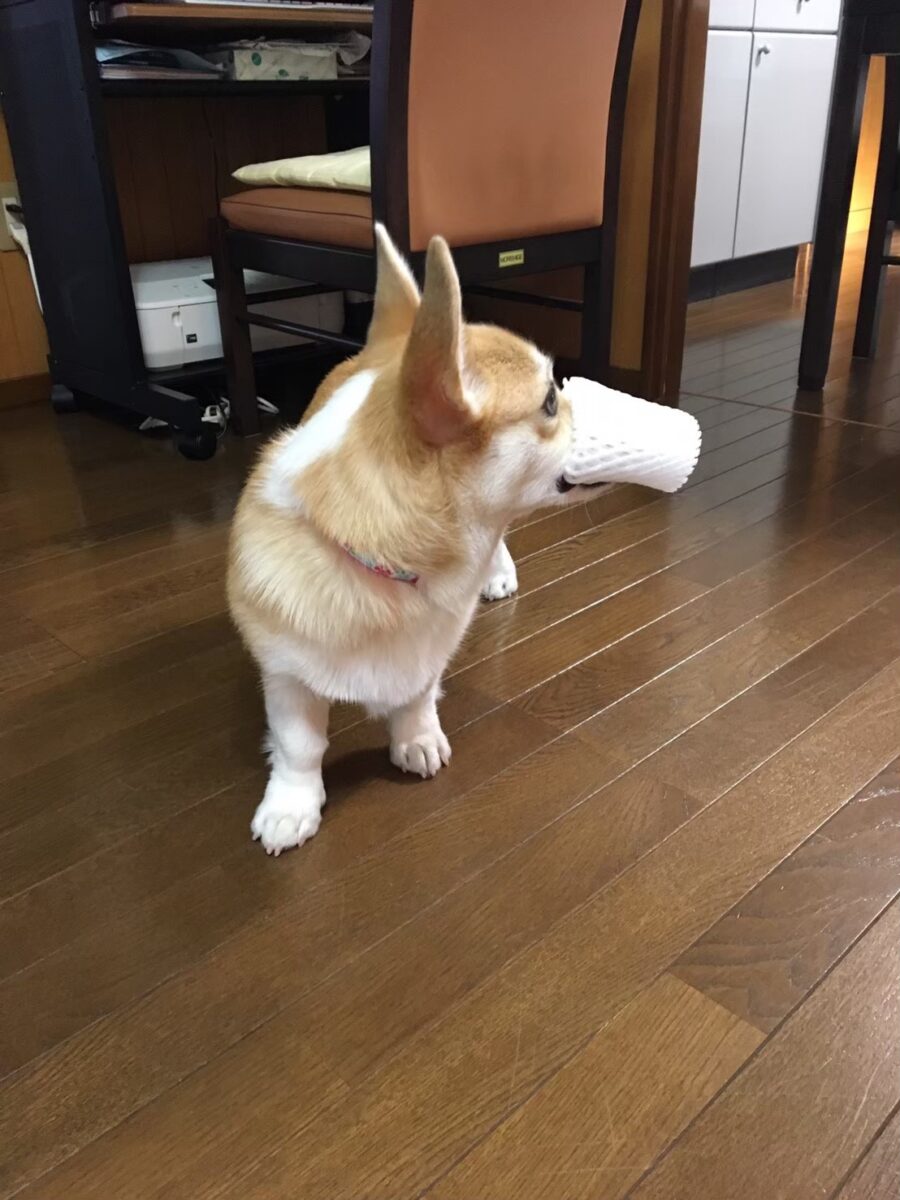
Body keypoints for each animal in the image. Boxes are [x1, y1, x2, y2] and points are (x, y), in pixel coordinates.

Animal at [229, 225, 621, 855]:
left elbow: (416, 697)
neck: (386, 562)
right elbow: (299, 745)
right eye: (550, 402)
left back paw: (498, 572)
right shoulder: (286, 674)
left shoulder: (431, 652)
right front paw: (291, 807)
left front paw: (415, 739)